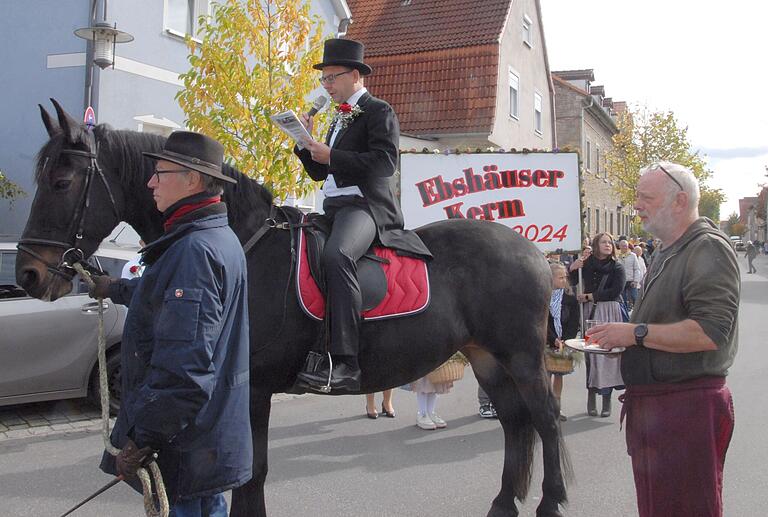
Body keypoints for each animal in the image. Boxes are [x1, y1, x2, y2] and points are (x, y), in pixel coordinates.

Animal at [15, 101, 568, 516]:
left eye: (62, 182)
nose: (28, 274)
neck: (241, 242)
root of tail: (533, 250)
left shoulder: (253, 386)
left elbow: (252, 474)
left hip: (520, 355)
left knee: (544, 418)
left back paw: (550, 502)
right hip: (485, 356)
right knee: (515, 422)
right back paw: (504, 503)